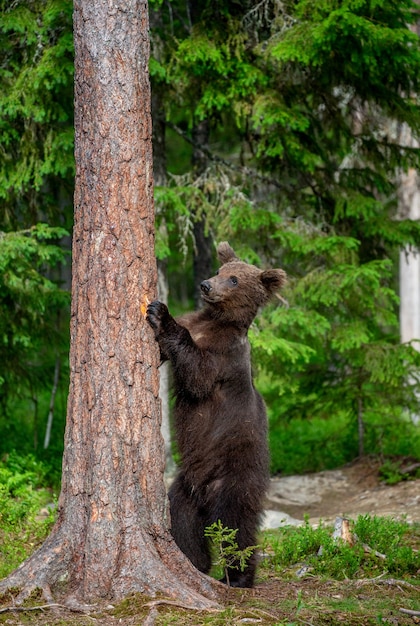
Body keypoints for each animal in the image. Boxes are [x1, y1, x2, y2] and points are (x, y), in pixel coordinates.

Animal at [146, 240, 288, 584]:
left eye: (234, 279)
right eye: (221, 269)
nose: (206, 285)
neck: (215, 321)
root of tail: (205, 492)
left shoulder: (223, 356)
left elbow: (198, 375)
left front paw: (160, 312)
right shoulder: (198, 324)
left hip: (236, 472)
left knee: (236, 525)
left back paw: (238, 576)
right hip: (185, 486)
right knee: (183, 521)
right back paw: (195, 561)